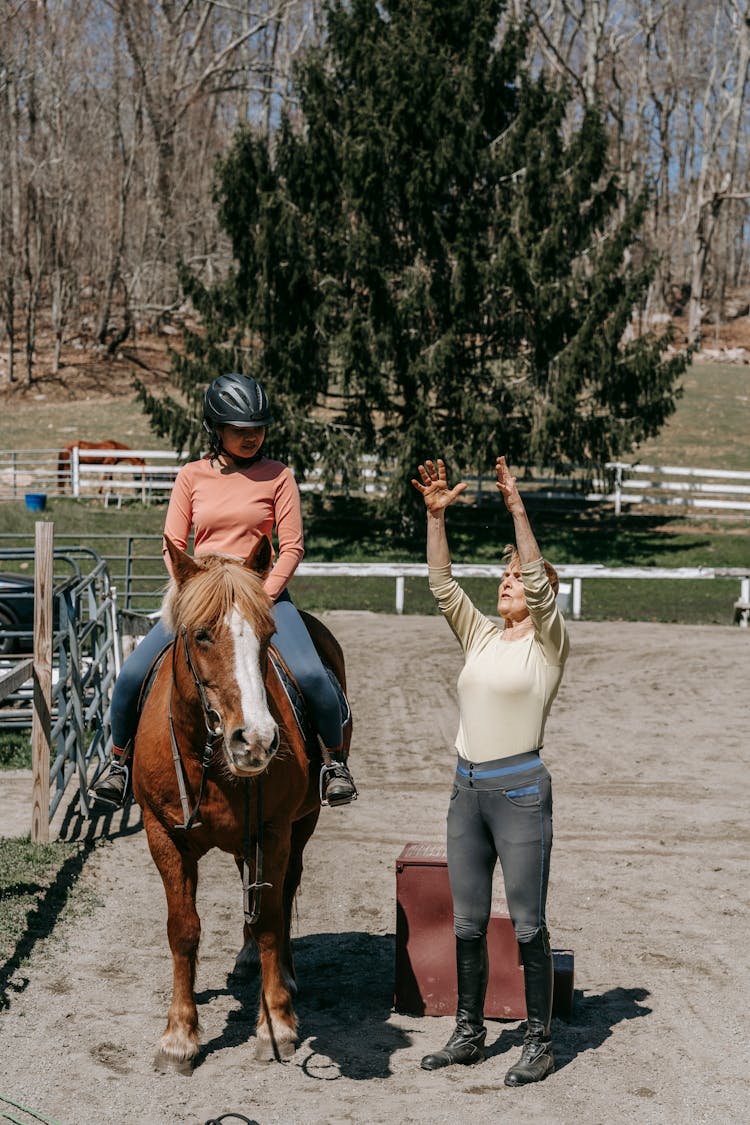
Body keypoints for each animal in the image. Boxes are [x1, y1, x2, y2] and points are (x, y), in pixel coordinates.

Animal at [132, 533, 353, 1062]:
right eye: (201, 635)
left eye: (268, 635)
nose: (254, 740)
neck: (208, 760)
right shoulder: (162, 834)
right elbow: (183, 928)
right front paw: (179, 1034)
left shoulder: (273, 830)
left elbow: (272, 917)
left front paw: (276, 1023)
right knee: (246, 881)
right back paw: (247, 958)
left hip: (302, 824)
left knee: (284, 889)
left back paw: (283, 975)